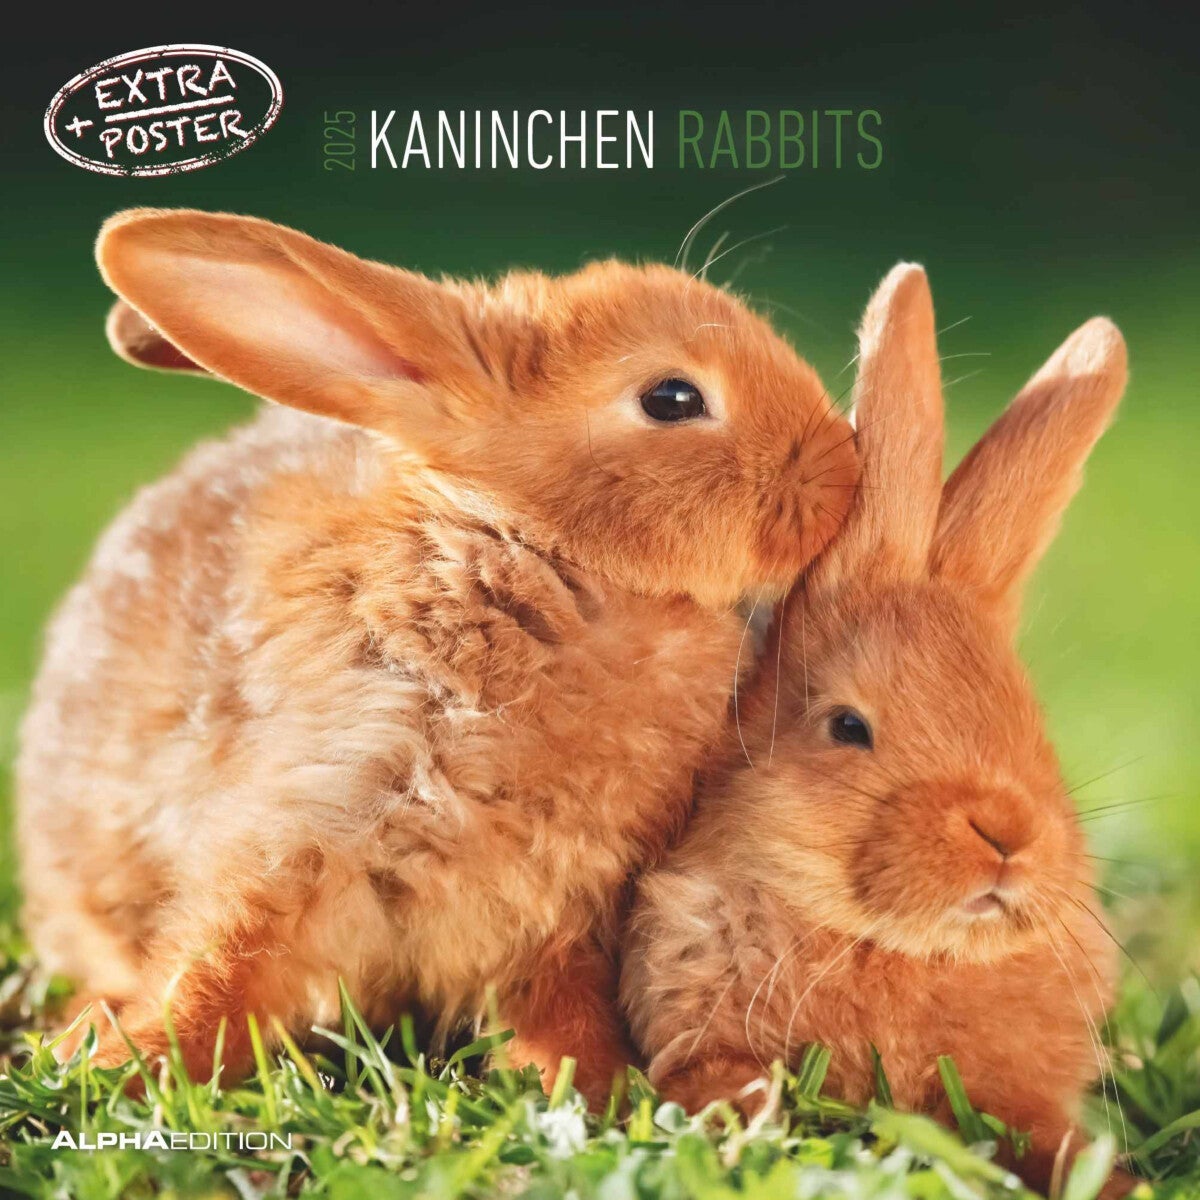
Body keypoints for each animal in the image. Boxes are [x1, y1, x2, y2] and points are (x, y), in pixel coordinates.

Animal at [15, 208, 860, 1107]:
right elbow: (218, 972)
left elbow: (560, 1013)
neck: (553, 571)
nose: (842, 469)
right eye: (673, 398)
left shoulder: (560, 914)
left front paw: (592, 1086)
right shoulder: (309, 819)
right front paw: (122, 1064)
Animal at [621, 262, 1134, 1193]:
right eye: (847, 726)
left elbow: (1049, 1133)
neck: (898, 946)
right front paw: (744, 1137)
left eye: (1030, 717)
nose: (1007, 836)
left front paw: (1114, 1181)